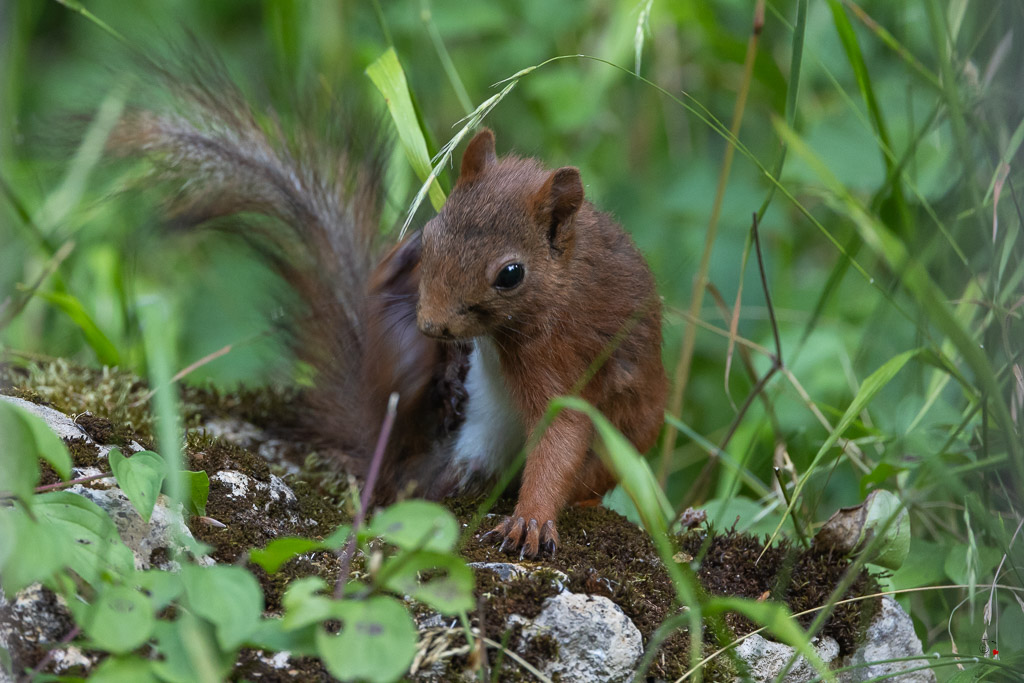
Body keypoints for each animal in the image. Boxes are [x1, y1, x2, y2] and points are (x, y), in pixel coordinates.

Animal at [112, 61, 667, 557]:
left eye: (510, 275)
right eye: (432, 233)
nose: (432, 325)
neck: (558, 286)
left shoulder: (562, 355)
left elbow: (562, 434)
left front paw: (529, 521)